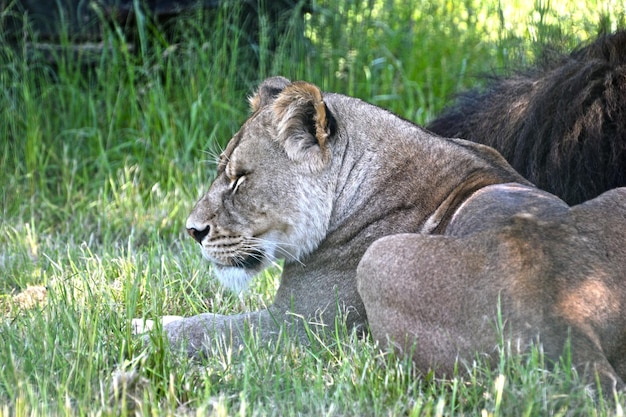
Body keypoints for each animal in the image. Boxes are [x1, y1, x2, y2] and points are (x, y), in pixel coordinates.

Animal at [162, 75, 624, 396]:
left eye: (240, 179)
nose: (192, 231)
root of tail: (567, 325)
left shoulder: (295, 327)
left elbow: (205, 329)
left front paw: (150, 327)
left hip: (380, 259)